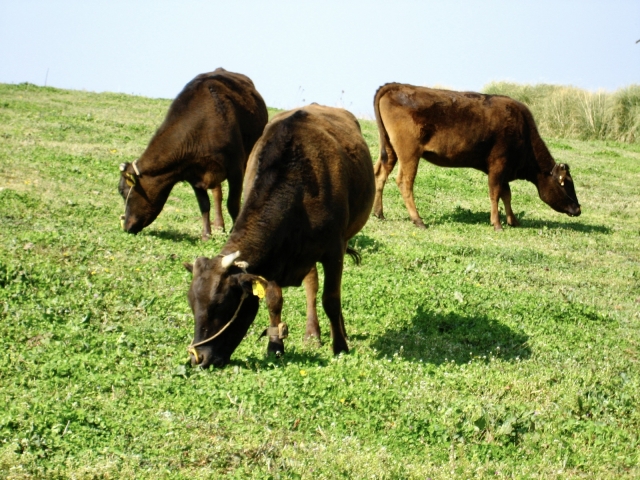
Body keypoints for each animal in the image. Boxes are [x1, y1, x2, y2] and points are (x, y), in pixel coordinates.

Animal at [117, 67, 268, 238]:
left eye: (123, 192)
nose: (126, 226)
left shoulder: (235, 168)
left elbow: (233, 204)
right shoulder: (194, 174)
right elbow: (204, 205)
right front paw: (206, 235)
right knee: (217, 193)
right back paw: (219, 225)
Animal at [182, 104, 376, 368]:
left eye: (222, 305)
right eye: (192, 303)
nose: (199, 358)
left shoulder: (334, 250)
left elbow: (331, 299)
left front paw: (340, 346)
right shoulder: (273, 258)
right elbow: (274, 301)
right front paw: (275, 346)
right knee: (311, 284)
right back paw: (312, 333)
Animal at [372, 83, 584, 231]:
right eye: (565, 183)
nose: (578, 209)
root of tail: (396, 85)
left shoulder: (504, 170)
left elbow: (507, 194)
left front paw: (513, 220)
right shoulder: (498, 164)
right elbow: (495, 193)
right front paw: (497, 224)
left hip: (390, 150)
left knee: (380, 174)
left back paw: (378, 213)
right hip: (409, 153)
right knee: (404, 182)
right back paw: (418, 220)